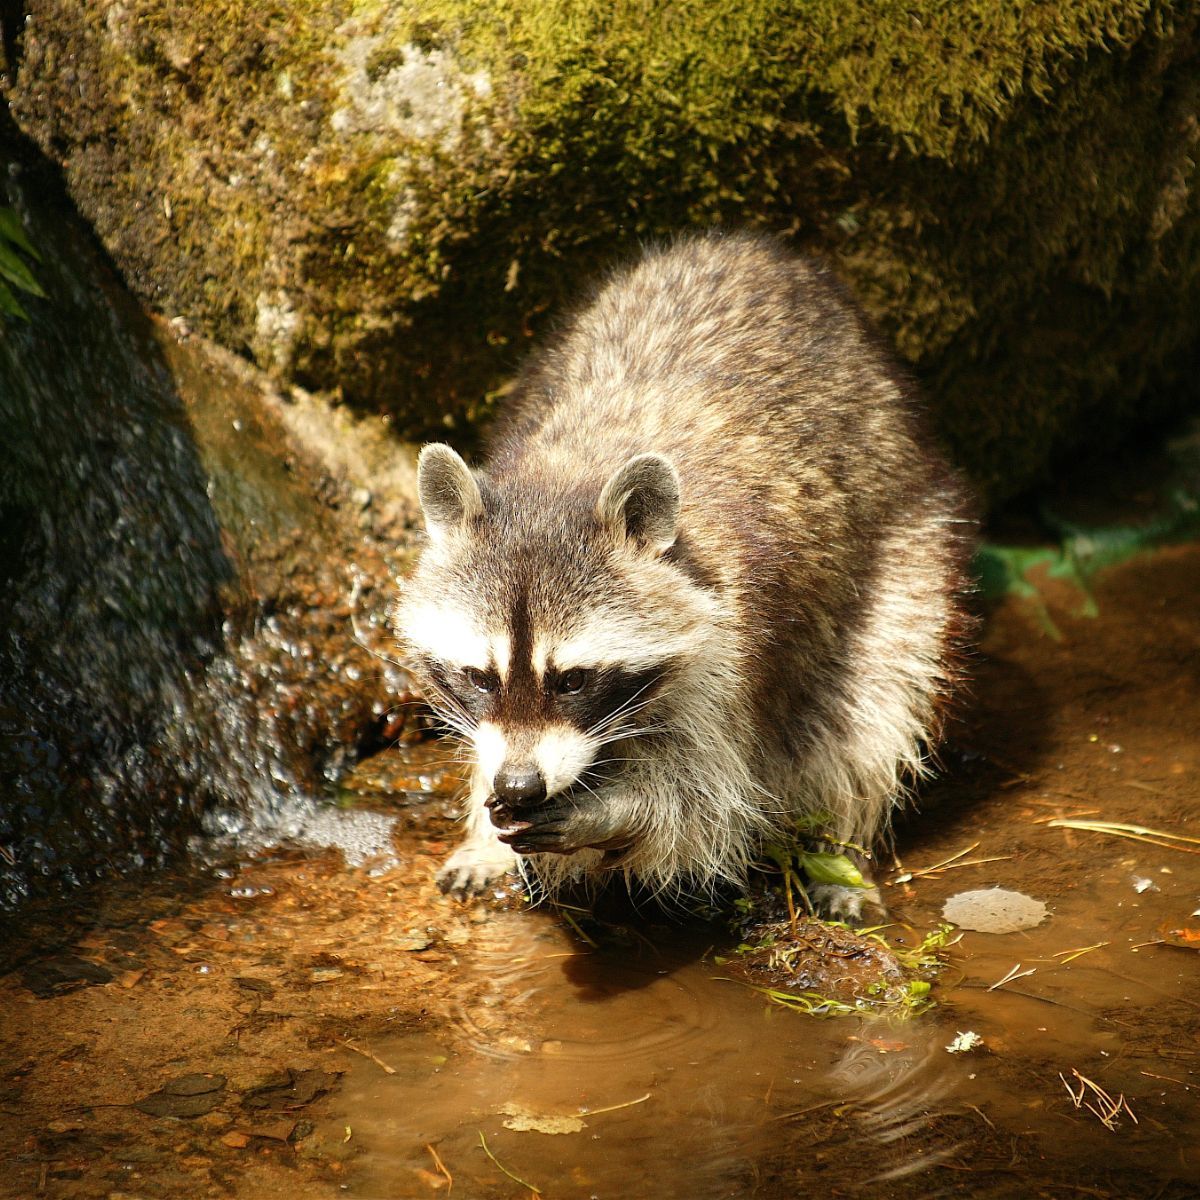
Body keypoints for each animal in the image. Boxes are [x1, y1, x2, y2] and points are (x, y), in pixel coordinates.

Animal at [394, 231, 973, 909]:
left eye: (572, 680)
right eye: (479, 677)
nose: (518, 786)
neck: (570, 472)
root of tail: (741, 244)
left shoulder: (736, 642)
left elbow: (710, 800)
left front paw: (622, 810)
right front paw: (486, 825)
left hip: (909, 539)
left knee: (875, 706)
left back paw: (844, 850)